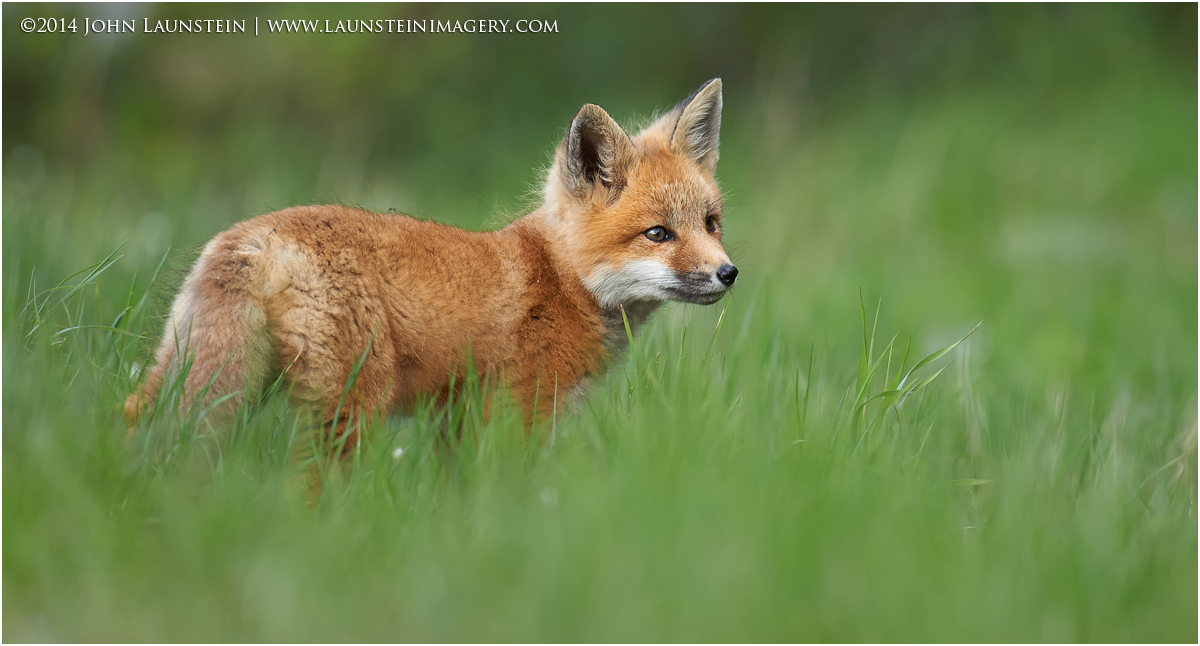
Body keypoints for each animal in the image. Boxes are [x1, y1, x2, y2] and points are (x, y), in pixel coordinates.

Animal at [125, 78, 738, 446]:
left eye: (711, 224)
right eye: (657, 234)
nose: (728, 273)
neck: (563, 281)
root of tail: (254, 236)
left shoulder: (458, 423)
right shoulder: (517, 415)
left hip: (190, 371)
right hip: (349, 407)